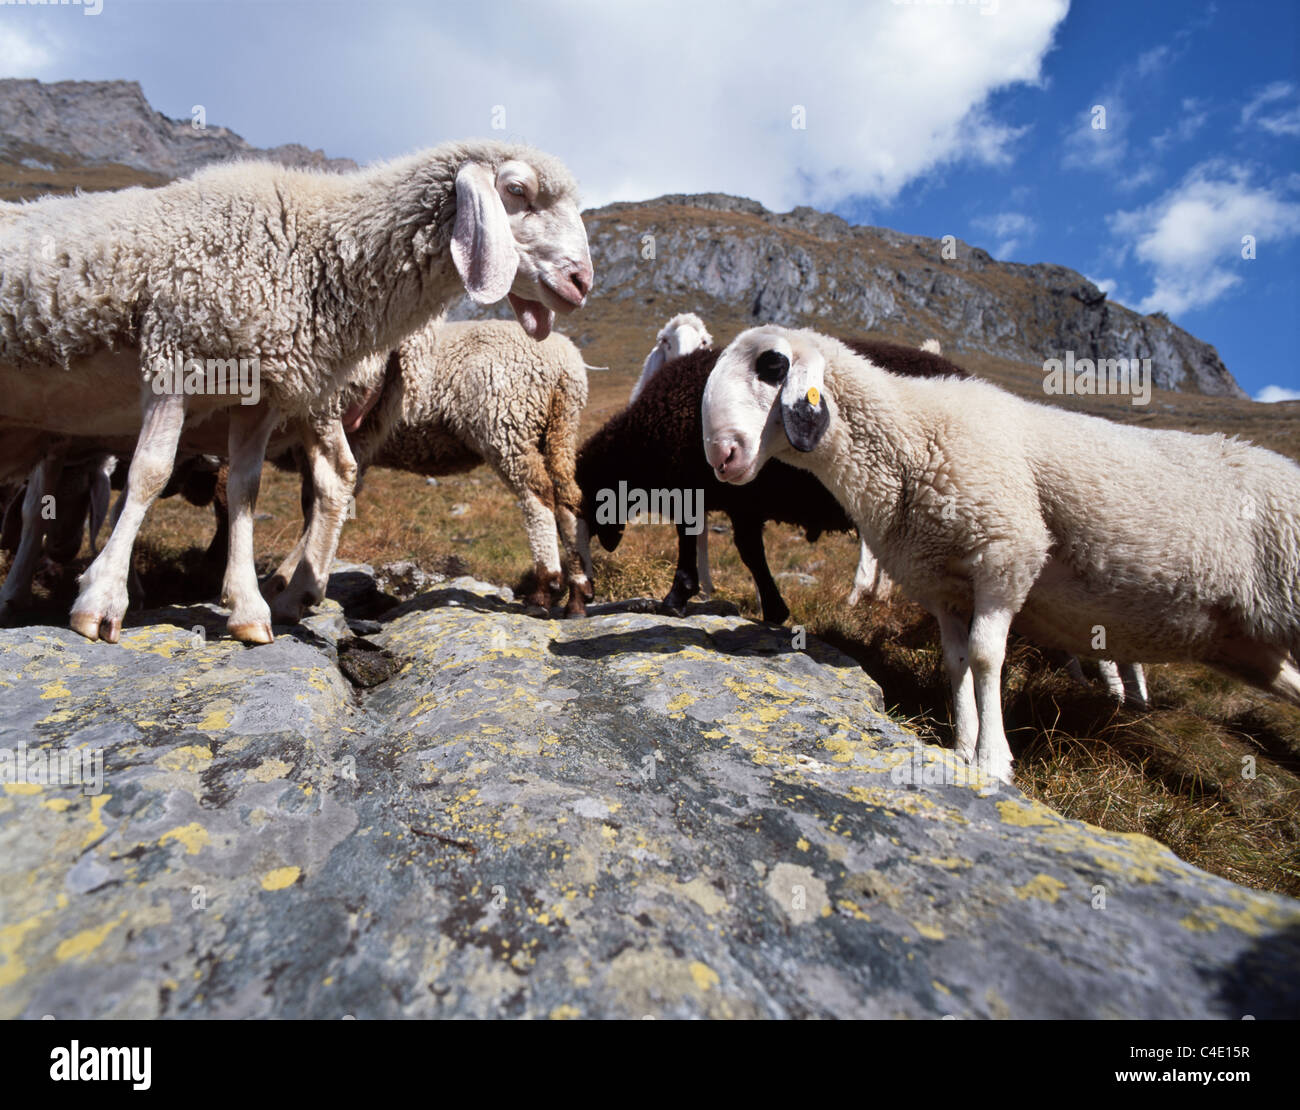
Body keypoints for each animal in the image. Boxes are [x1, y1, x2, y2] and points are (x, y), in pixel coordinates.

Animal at [0, 138, 592, 644]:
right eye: (516, 190)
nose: (582, 281)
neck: (309, 244)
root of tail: (568, 366)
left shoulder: (259, 393)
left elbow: (241, 490)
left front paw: (245, 606)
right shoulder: (175, 358)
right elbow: (148, 475)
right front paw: (100, 600)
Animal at [701, 325, 1300, 782]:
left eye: (773, 365)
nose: (722, 456)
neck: (912, 437)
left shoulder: (1005, 555)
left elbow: (987, 657)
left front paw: (993, 761)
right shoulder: (942, 583)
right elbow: (956, 661)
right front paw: (962, 747)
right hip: (1245, 644)